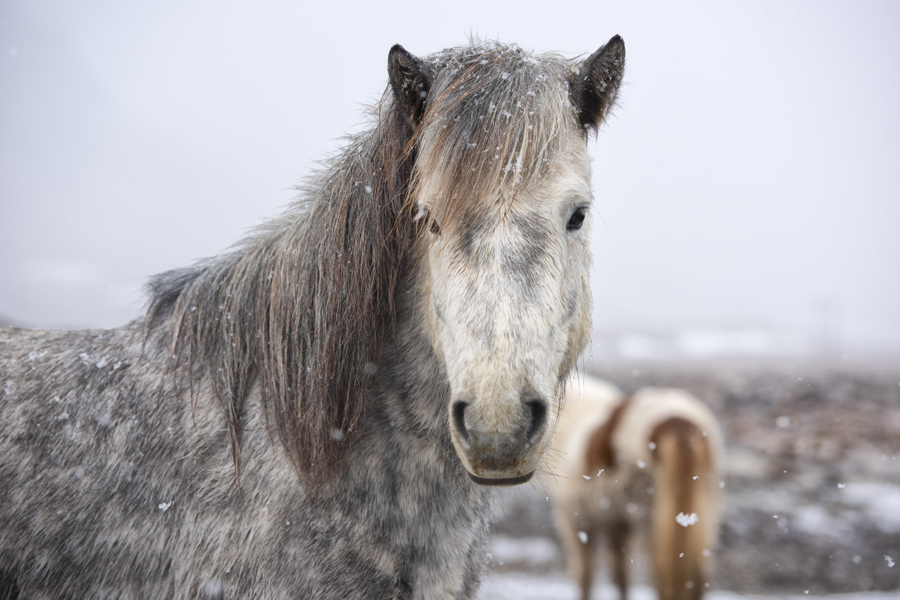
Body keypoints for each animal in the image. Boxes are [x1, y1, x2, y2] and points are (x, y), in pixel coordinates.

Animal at [544, 378, 720, 600]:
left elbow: (585, 577)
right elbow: (621, 575)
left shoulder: (577, 521)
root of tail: (678, 422)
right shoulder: (617, 525)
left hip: (649, 523)